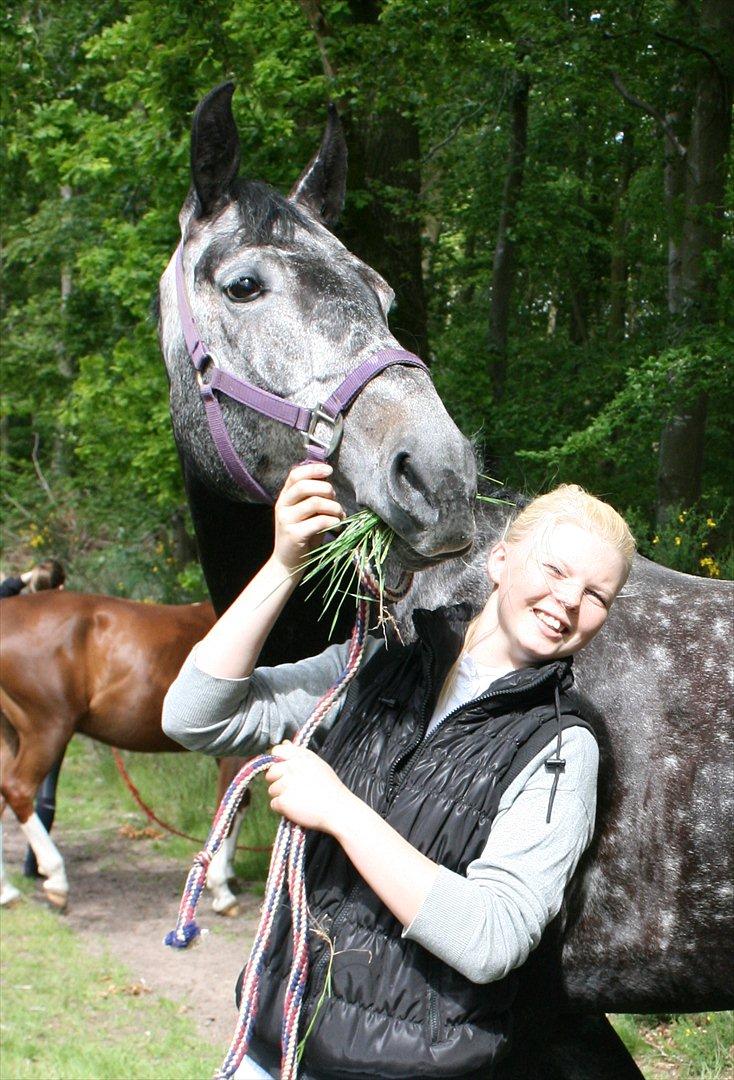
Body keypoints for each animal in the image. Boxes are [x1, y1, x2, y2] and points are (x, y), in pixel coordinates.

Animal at [0, 591, 246, 911]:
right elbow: (230, 805)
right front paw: (221, 890)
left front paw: (228, 873)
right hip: (47, 729)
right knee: (17, 789)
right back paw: (56, 880)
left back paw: (7, 892)